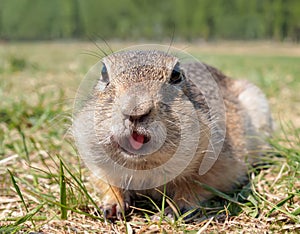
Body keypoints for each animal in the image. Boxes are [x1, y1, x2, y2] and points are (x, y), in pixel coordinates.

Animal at [72, 45, 272, 219]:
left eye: (176, 75)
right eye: (103, 72)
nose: (135, 111)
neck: (143, 165)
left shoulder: (219, 161)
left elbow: (197, 185)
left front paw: (173, 210)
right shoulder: (95, 160)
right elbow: (105, 181)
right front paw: (111, 206)